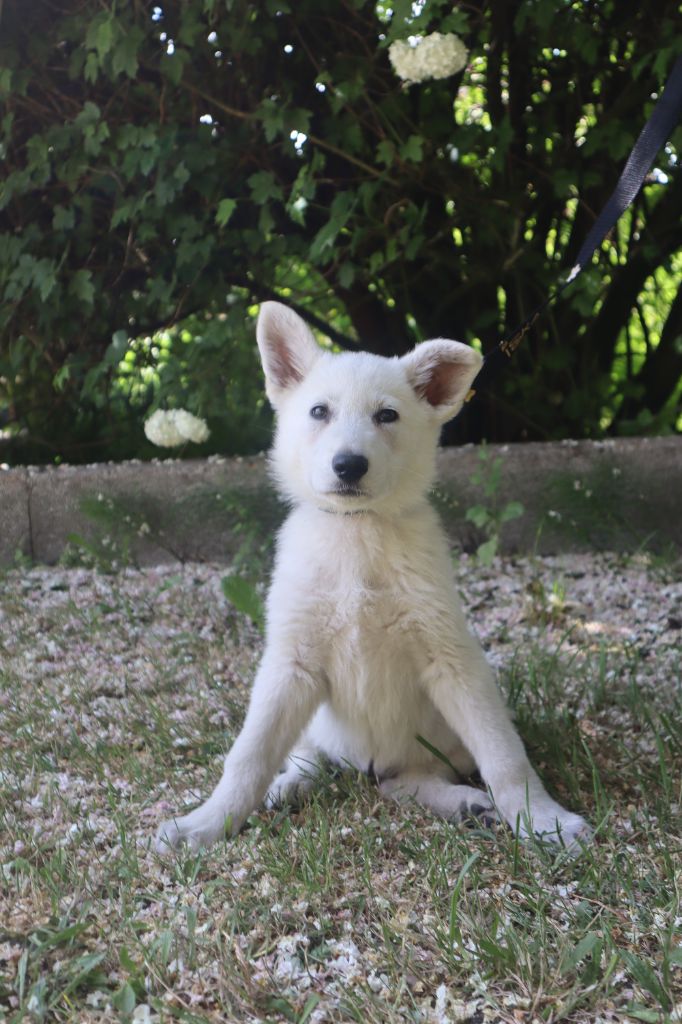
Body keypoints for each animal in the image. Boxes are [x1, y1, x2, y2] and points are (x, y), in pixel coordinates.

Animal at [156, 303, 585, 856]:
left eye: (387, 415)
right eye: (319, 411)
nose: (349, 465)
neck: (357, 533)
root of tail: (367, 765)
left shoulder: (451, 660)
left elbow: (505, 756)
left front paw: (542, 819)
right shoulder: (291, 663)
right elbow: (249, 755)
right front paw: (207, 823)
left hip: (432, 748)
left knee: (403, 782)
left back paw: (465, 803)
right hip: (306, 707)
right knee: (307, 754)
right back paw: (290, 784)